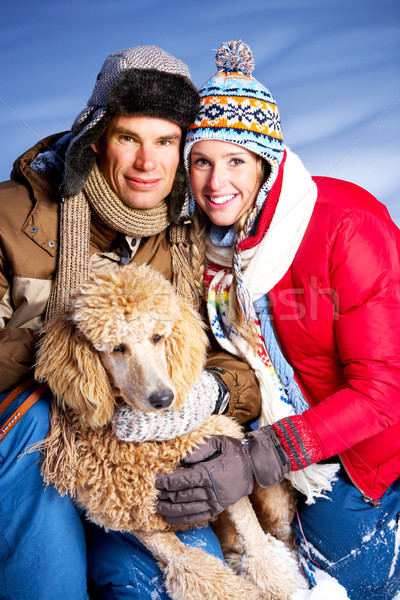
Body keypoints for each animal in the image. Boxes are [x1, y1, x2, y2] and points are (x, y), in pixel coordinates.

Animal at [36, 264, 302, 600]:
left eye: (157, 337)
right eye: (117, 348)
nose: (163, 398)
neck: (149, 446)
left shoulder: (221, 476)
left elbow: (256, 543)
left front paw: (276, 585)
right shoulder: (141, 521)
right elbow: (193, 567)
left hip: (272, 499)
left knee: (282, 531)